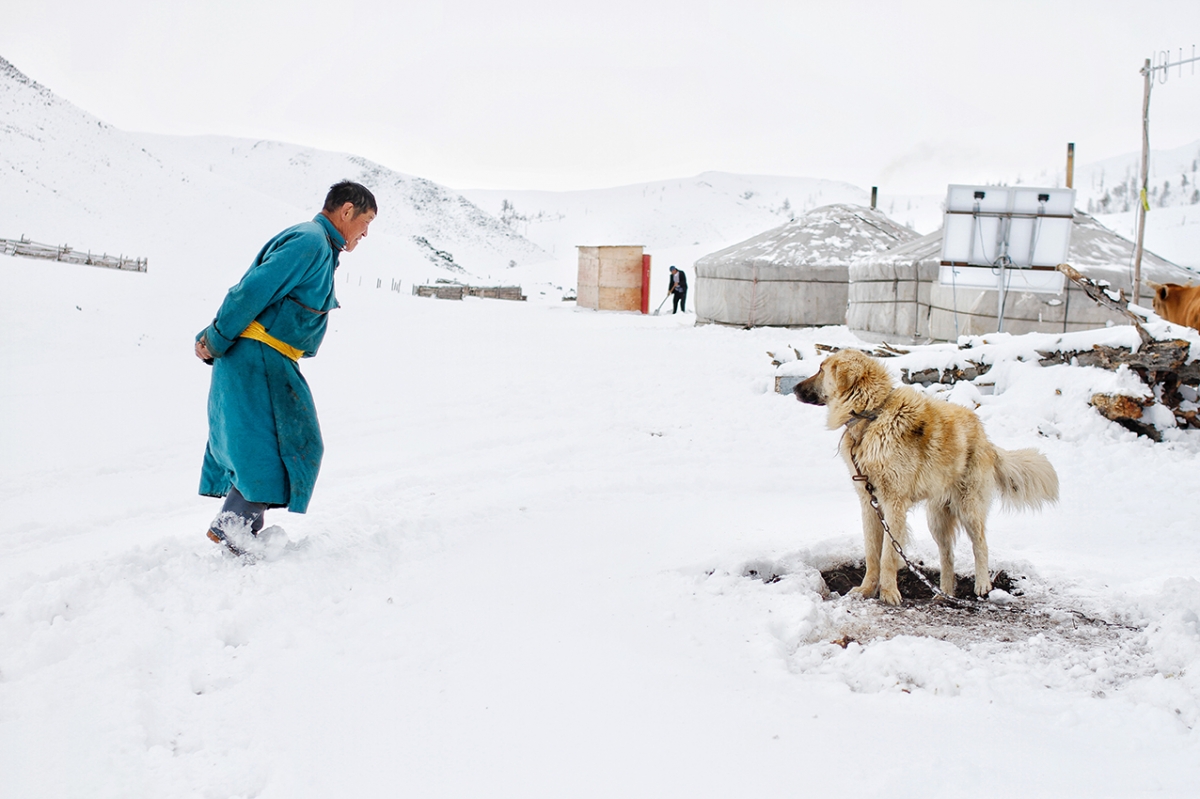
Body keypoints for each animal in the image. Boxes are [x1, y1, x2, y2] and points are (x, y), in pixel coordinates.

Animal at [796, 347, 1060, 604]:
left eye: (821, 370)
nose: (795, 388)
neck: (873, 416)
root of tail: (986, 439)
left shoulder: (894, 504)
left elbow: (888, 555)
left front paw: (889, 593)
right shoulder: (869, 502)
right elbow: (871, 553)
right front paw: (866, 589)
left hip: (969, 507)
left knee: (980, 544)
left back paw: (982, 585)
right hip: (937, 518)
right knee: (948, 555)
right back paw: (943, 593)